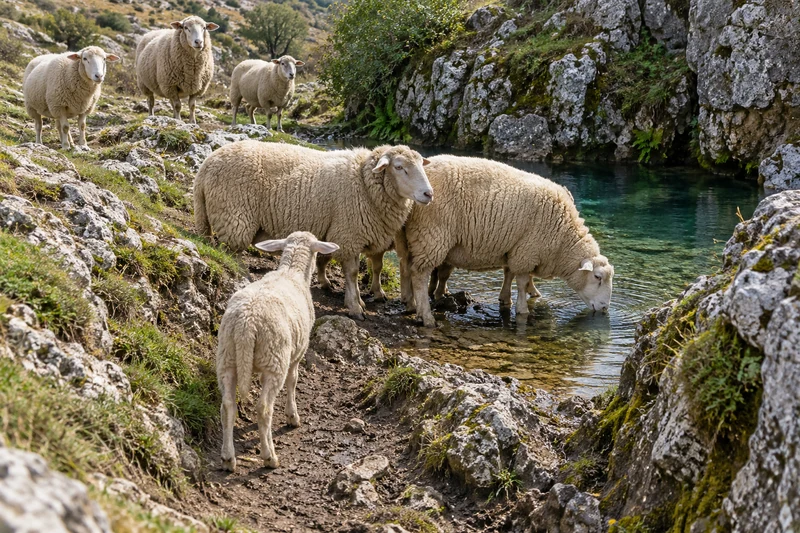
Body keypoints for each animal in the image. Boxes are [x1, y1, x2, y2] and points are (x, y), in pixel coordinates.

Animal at [194, 140, 433, 319]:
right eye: (399, 167)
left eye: (421, 165)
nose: (428, 194)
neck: (364, 182)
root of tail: (205, 167)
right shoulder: (348, 233)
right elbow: (352, 273)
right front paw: (355, 306)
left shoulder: (342, 232)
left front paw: (354, 298)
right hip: (235, 218)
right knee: (232, 254)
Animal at [217, 231, 339, 471]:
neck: (292, 271)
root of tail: (247, 322)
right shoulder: (297, 354)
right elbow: (294, 380)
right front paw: (293, 416)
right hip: (274, 360)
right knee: (264, 408)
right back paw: (269, 456)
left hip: (227, 357)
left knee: (227, 406)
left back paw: (228, 459)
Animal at [390, 154, 614, 327]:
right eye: (597, 277)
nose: (604, 308)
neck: (562, 240)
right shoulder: (527, 250)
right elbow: (521, 281)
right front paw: (522, 309)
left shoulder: (517, 247)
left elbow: (509, 274)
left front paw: (507, 298)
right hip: (431, 235)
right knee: (420, 274)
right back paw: (426, 316)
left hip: (411, 237)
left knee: (406, 267)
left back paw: (411, 304)